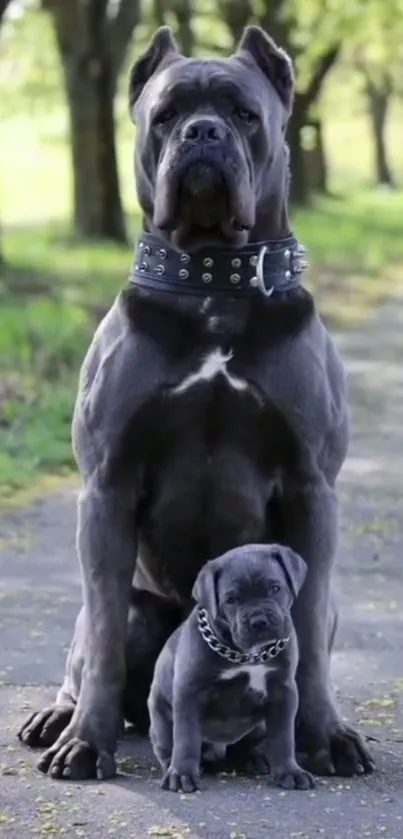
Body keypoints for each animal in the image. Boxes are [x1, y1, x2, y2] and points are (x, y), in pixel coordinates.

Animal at [148, 544, 316, 796]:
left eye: (275, 588)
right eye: (231, 599)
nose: (259, 620)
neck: (249, 655)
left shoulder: (283, 692)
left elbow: (284, 738)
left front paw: (290, 771)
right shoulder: (189, 693)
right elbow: (186, 737)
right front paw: (182, 774)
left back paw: (255, 759)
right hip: (160, 716)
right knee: (168, 745)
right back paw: (174, 766)